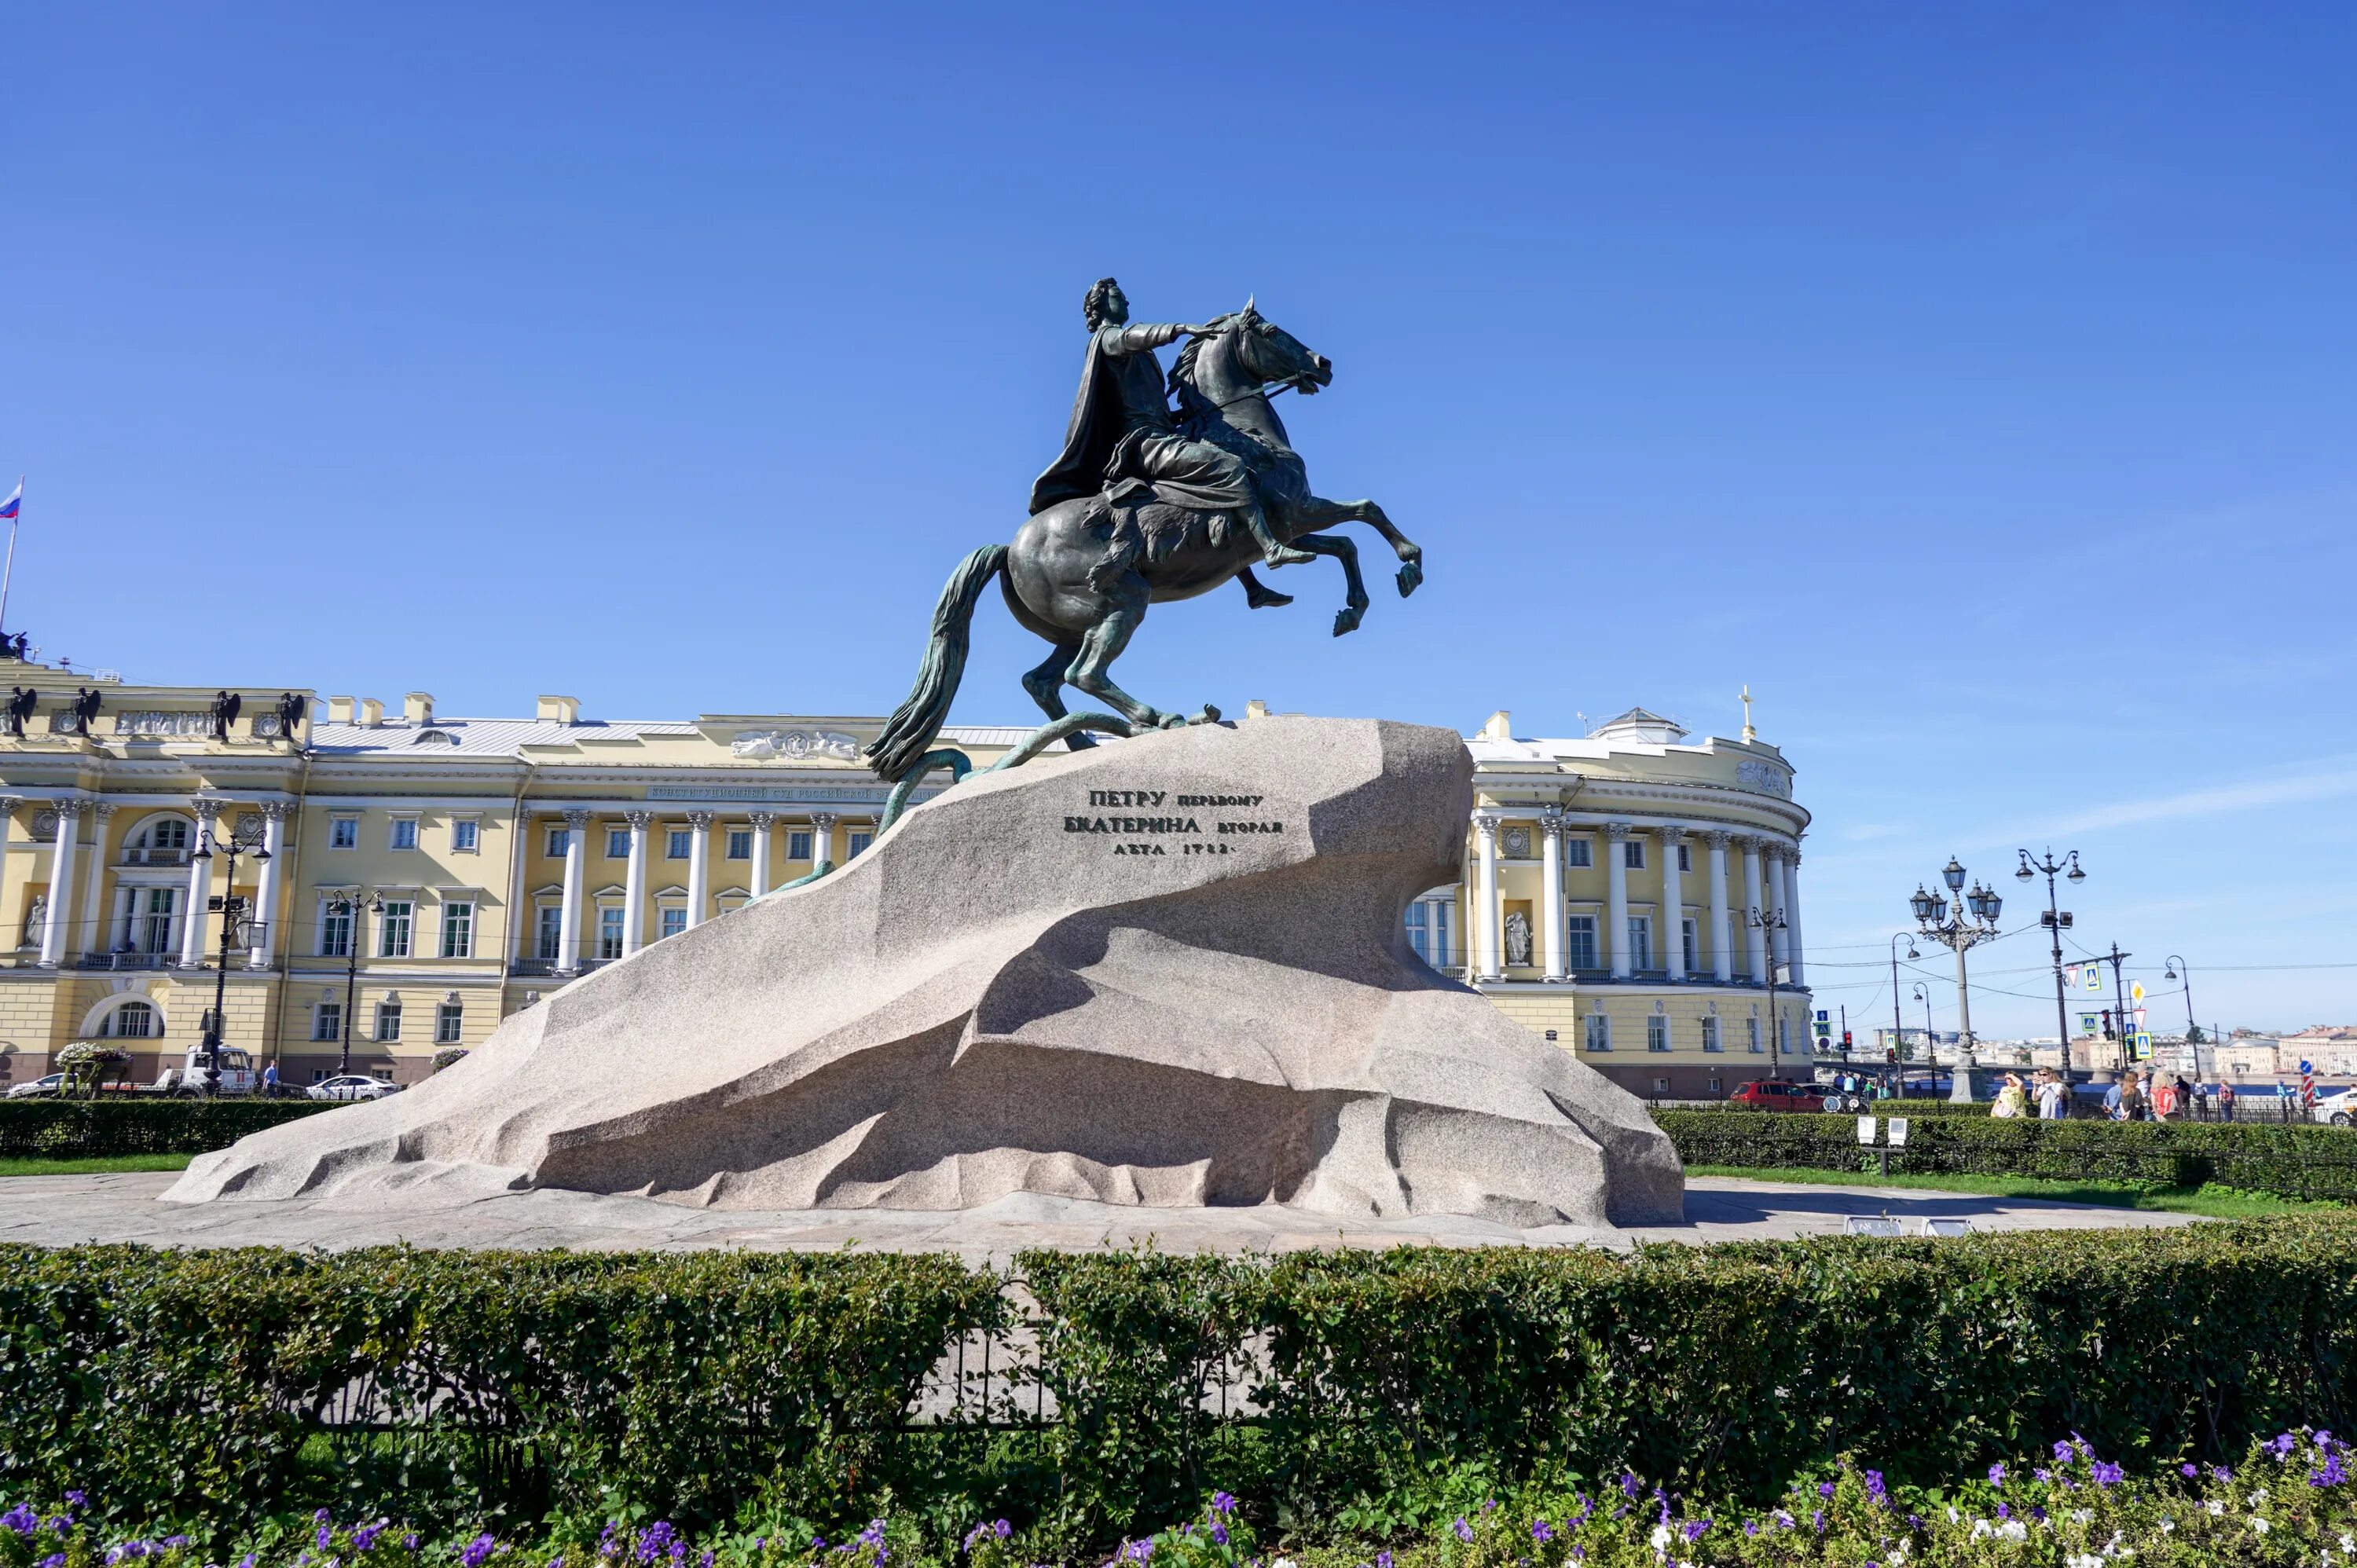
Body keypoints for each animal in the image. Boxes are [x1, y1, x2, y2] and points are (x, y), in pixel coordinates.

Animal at [867, 300, 1414, 782]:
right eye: (1271, 330)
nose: (1323, 365)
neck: (1244, 436)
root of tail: (1009, 548)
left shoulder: (1284, 527)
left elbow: (1346, 543)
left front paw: (1351, 611)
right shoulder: (1294, 515)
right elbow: (1365, 514)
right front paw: (1409, 567)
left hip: (1074, 625)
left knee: (1043, 681)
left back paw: (1081, 744)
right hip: (1124, 598)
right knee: (1085, 674)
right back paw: (1158, 718)